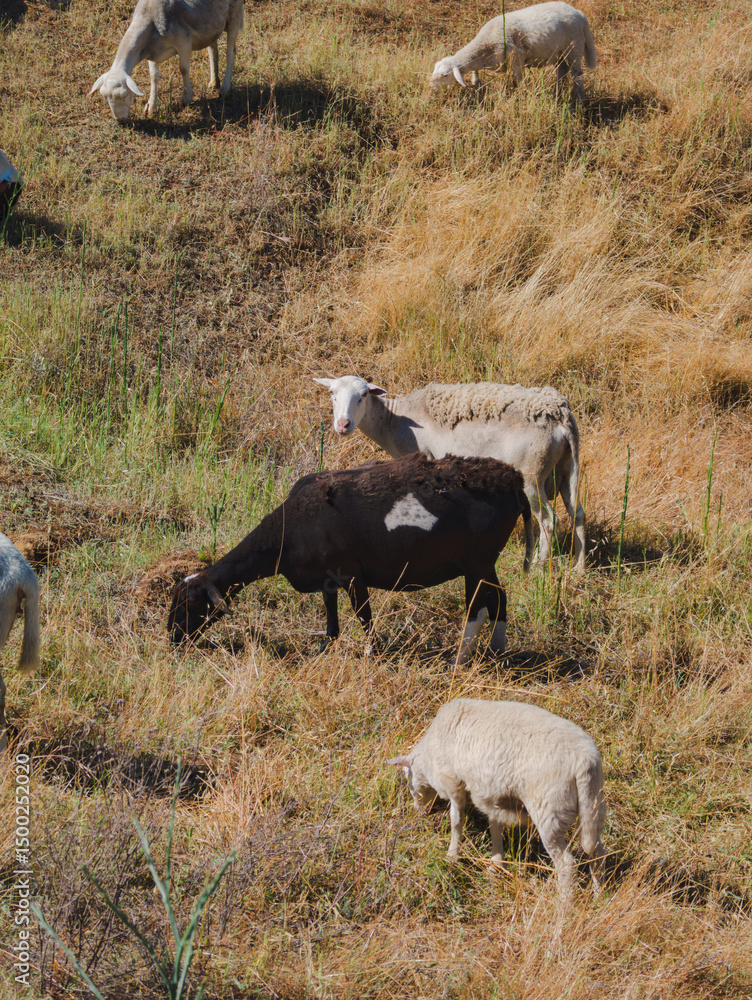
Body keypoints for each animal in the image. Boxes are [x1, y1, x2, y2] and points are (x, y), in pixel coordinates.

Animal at [89, 0, 244, 122]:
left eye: (124, 95)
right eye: (104, 96)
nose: (119, 120)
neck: (148, 17)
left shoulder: (184, 42)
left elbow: (183, 69)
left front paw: (186, 97)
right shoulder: (152, 52)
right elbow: (153, 76)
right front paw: (151, 106)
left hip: (234, 15)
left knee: (230, 53)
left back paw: (224, 88)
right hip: (211, 25)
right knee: (213, 47)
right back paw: (214, 82)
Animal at [168, 453, 531, 662]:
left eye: (190, 604)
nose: (172, 640)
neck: (287, 532)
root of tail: (514, 481)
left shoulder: (351, 573)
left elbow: (364, 617)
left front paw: (371, 654)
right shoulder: (327, 578)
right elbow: (332, 620)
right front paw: (325, 651)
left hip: (477, 561)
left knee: (477, 608)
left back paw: (460, 658)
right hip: (486, 561)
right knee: (500, 598)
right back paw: (498, 651)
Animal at [314, 375, 586, 573]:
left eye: (362, 396)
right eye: (332, 395)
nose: (343, 425)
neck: (392, 419)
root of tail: (559, 417)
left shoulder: (421, 459)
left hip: (532, 475)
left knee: (548, 521)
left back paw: (537, 568)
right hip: (567, 467)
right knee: (577, 513)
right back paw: (579, 568)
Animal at [389, 697, 606, 898]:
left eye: (407, 779)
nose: (418, 813)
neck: (429, 756)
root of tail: (585, 761)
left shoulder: (453, 782)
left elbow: (456, 821)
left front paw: (452, 856)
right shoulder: (492, 796)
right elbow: (495, 827)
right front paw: (496, 864)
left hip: (550, 809)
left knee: (566, 864)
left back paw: (563, 906)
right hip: (593, 805)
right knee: (596, 851)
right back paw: (598, 896)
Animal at [429, 1, 596, 100]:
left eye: (445, 75)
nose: (431, 87)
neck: (486, 43)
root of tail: (579, 14)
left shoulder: (516, 58)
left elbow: (518, 80)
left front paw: (520, 96)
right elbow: (475, 73)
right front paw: (476, 84)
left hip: (574, 47)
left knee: (577, 74)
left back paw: (579, 100)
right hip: (558, 52)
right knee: (562, 70)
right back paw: (557, 92)